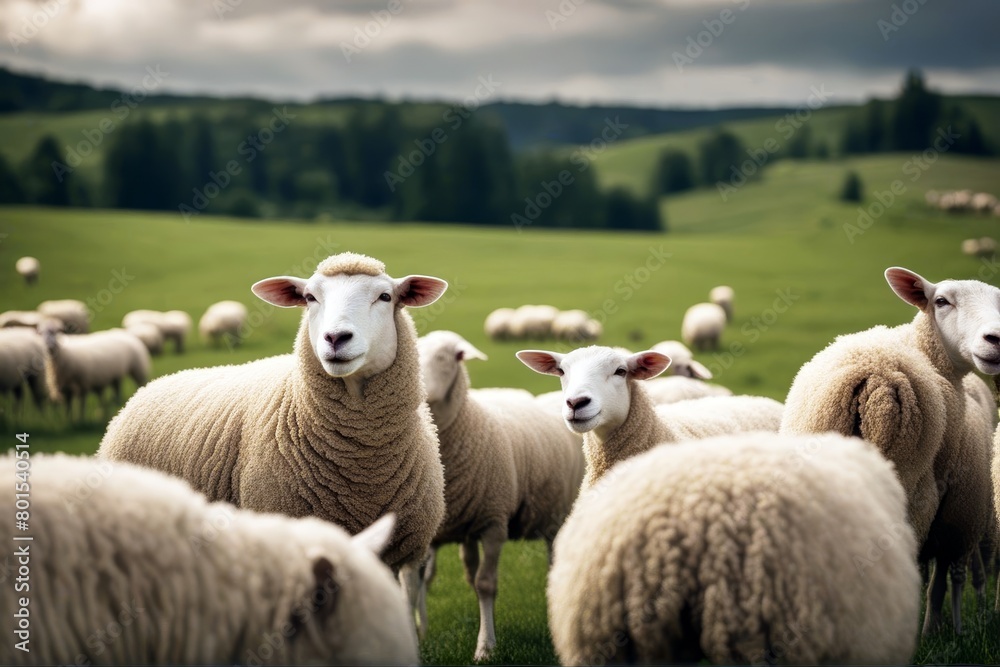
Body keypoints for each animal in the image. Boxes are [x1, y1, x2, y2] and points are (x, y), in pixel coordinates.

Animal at [98, 252, 448, 604]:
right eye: (310, 297)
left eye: (385, 297)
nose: (335, 338)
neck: (363, 469)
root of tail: (153, 385)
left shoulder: (396, 556)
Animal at [416, 330, 585, 660]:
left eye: (446, 357)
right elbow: (428, 581)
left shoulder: (494, 521)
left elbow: (485, 584)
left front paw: (485, 647)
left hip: (556, 516)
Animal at [781, 266, 1000, 636]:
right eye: (942, 301)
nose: (995, 339)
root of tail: (876, 382)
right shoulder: (948, 508)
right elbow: (937, 578)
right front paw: (932, 628)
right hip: (913, 494)